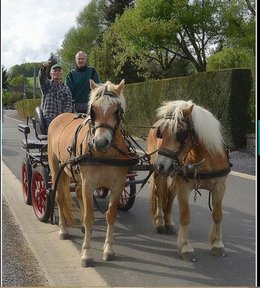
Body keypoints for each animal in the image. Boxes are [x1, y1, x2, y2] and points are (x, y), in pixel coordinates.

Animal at [48, 79, 137, 268]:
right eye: (93, 110)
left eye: (117, 111)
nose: (100, 142)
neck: (106, 154)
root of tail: (60, 116)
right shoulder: (89, 185)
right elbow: (89, 217)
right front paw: (87, 254)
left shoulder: (118, 185)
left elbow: (111, 215)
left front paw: (108, 249)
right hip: (55, 168)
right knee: (60, 198)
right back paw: (63, 230)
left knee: (78, 193)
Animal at [147, 100, 231, 262]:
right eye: (161, 133)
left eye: (180, 134)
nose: (159, 165)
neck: (205, 160)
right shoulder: (184, 188)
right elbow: (185, 217)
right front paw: (185, 247)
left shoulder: (220, 187)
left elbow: (217, 215)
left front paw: (217, 244)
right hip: (161, 176)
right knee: (160, 195)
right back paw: (160, 221)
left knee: (169, 196)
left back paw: (169, 222)